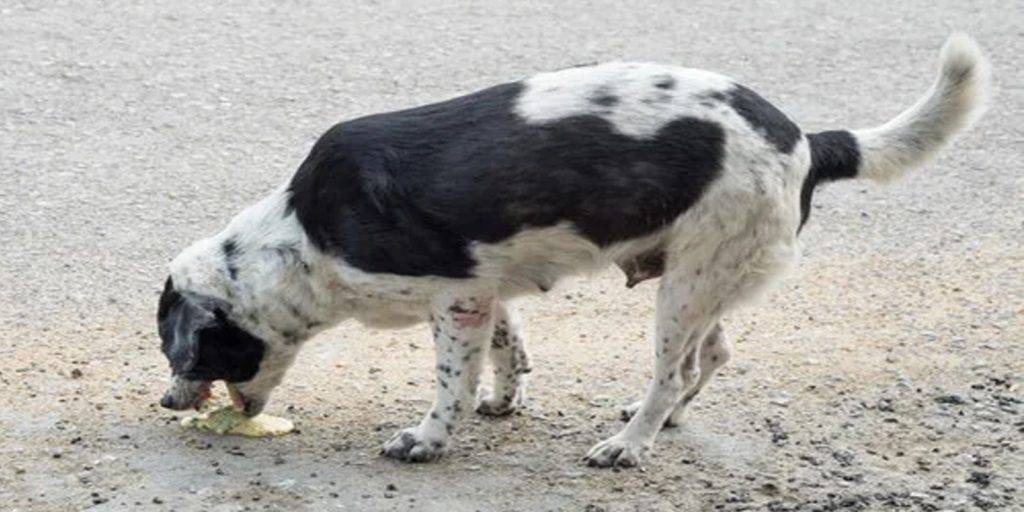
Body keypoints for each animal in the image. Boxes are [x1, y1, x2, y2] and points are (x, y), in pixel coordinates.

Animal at [159, 35, 991, 468]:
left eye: (181, 352)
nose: (165, 403)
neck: (301, 237)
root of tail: (808, 141)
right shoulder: (481, 291)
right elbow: (508, 352)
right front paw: (503, 403)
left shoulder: (453, 299)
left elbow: (450, 383)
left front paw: (429, 438)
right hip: (707, 275)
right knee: (712, 353)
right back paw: (665, 420)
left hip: (687, 284)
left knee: (675, 368)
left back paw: (630, 442)